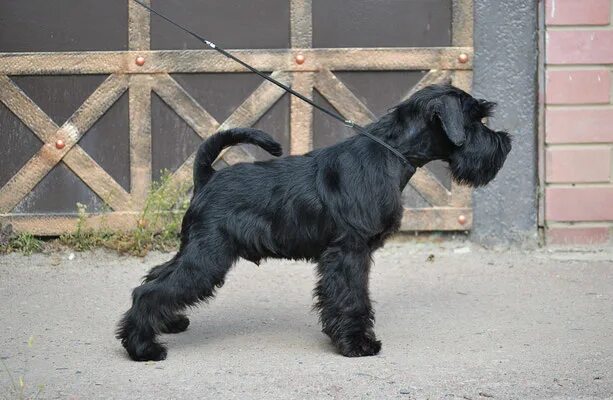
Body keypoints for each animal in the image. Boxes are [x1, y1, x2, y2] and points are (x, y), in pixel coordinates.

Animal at [117, 83, 510, 360]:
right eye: (475, 119)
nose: (505, 142)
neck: (389, 154)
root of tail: (207, 177)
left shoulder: (354, 254)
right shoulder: (349, 252)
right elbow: (351, 297)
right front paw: (357, 343)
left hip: (197, 250)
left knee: (156, 277)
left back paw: (168, 324)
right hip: (207, 256)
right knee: (150, 290)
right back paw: (143, 348)